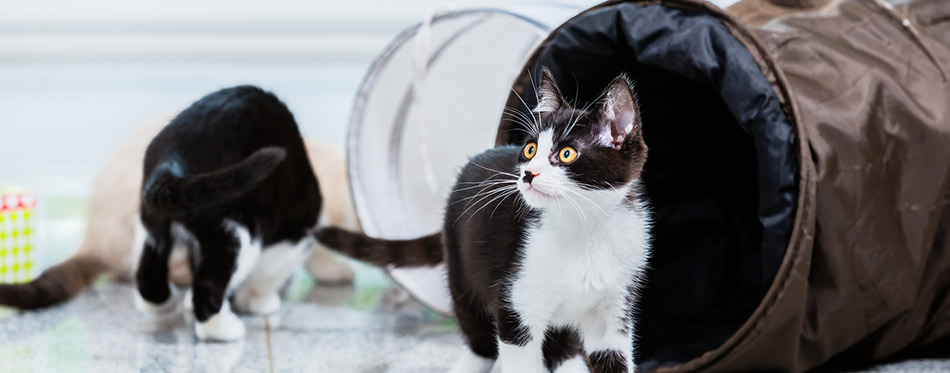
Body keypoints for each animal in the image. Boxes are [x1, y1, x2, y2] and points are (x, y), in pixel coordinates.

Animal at [131, 85, 324, 340]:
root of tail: (173, 157)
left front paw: (190, 303)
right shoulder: (292, 237)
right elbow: (267, 274)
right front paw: (260, 301)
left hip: (152, 220)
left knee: (149, 271)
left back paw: (162, 304)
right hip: (236, 232)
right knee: (208, 286)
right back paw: (222, 330)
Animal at [320, 70, 656, 372]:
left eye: (567, 154)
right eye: (530, 149)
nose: (528, 174)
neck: (586, 229)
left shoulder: (615, 310)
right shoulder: (515, 302)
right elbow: (520, 360)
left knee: (559, 347)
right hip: (462, 271)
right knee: (480, 341)